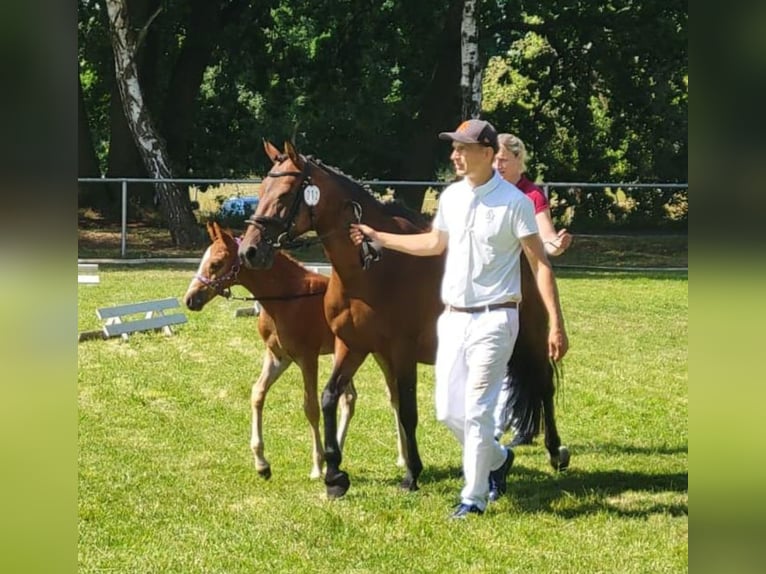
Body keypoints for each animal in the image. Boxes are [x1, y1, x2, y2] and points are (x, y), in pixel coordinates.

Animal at [184, 221, 406, 480]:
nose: (190, 299)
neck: (286, 298)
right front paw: (262, 463)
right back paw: (337, 453)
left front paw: (316, 466)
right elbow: (257, 393)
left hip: (380, 353)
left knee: (394, 396)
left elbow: (310, 407)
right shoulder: (278, 356)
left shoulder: (307, 358)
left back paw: (402, 457)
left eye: (216, 263)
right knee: (349, 399)